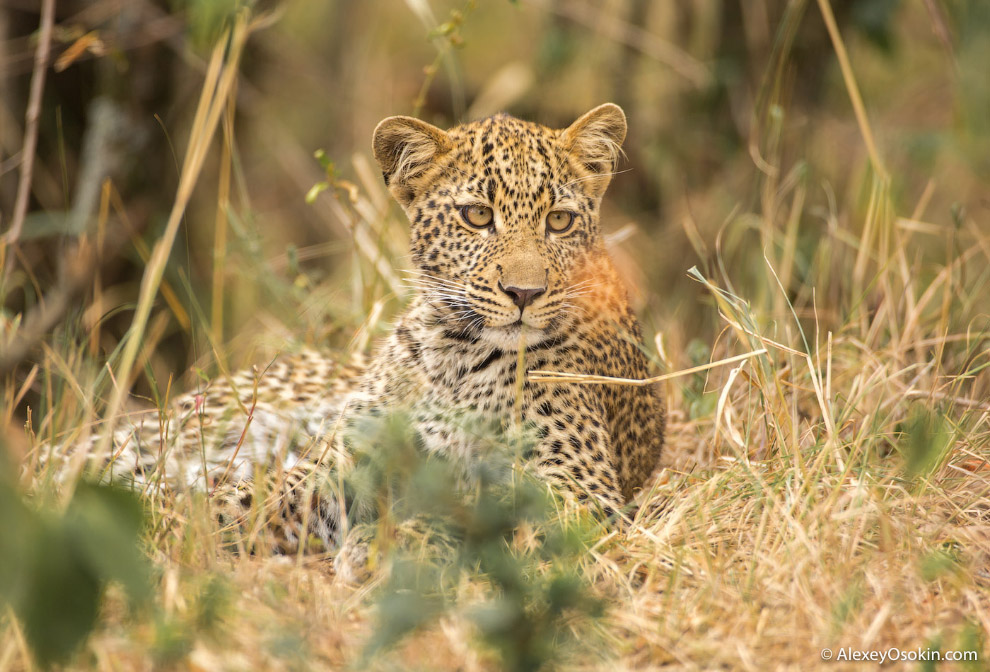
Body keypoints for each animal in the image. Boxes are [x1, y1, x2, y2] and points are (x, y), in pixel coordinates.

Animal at [44, 102, 668, 560]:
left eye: (559, 221)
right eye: (477, 216)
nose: (524, 294)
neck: (455, 354)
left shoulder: (579, 491)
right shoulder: (340, 459)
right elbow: (256, 497)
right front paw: (182, 521)